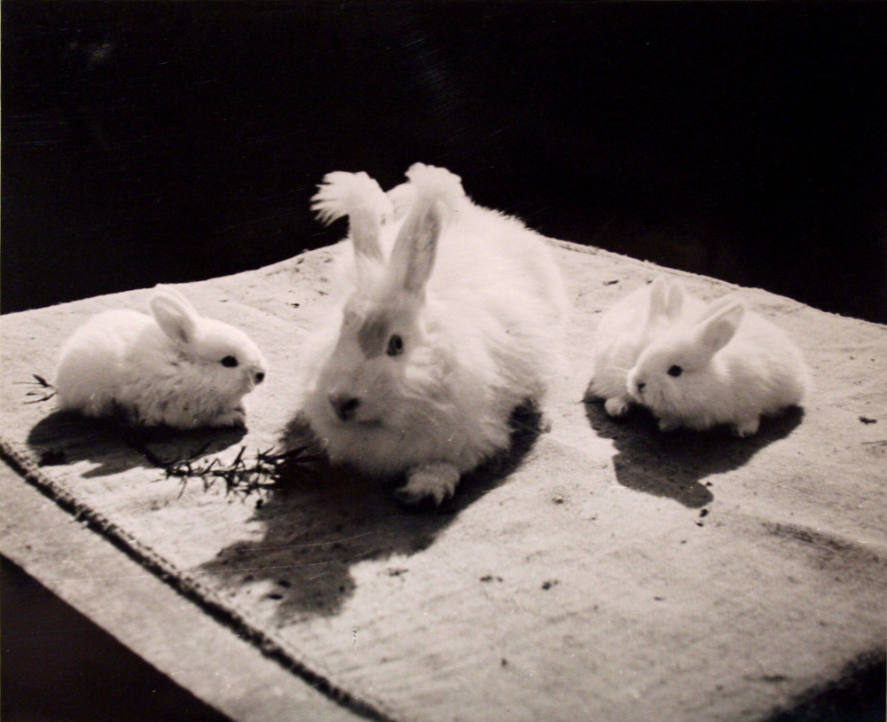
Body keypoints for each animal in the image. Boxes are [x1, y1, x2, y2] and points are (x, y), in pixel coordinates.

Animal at [52, 282, 266, 428]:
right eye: (229, 361)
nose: (261, 374)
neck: (187, 368)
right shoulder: (182, 412)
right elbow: (207, 419)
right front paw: (234, 418)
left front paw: (242, 408)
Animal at [298, 162, 568, 500]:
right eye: (340, 333)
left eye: (397, 344)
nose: (340, 401)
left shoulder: (469, 430)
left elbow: (444, 462)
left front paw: (426, 488)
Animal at [624, 292, 812, 434]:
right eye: (642, 353)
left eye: (675, 370)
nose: (638, 384)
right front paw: (666, 425)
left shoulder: (751, 399)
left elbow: (749, 416)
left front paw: (744, 431)